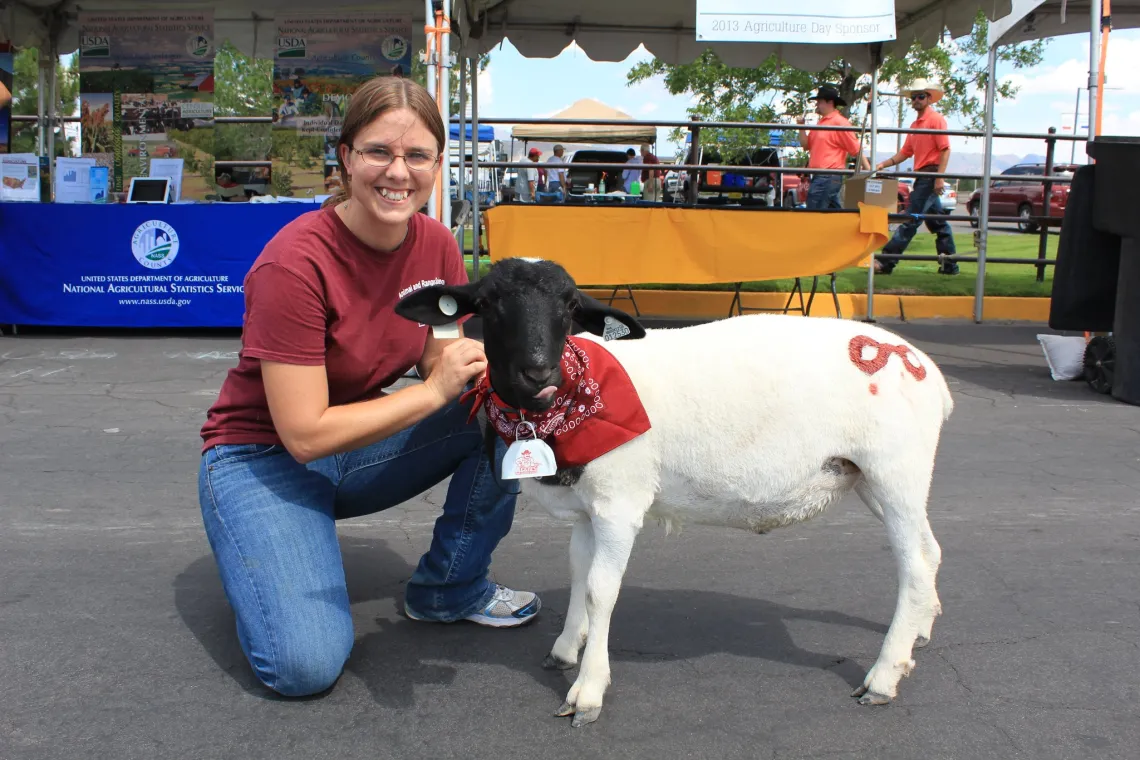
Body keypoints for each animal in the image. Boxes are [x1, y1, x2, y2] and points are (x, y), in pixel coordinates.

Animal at [392, 258, 953, 729]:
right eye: (488, 303)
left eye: (570, 306)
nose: (538, 371)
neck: (571, 402)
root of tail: (923, 367)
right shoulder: (588, 510)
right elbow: (578, 574)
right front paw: (566, 649)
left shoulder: (620, 503)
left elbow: (601, 590)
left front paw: (588, 691)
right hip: (875, 477)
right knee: (931, 550)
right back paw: (919, 634)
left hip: (896, 467)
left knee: (914, 565)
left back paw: (884, 675)